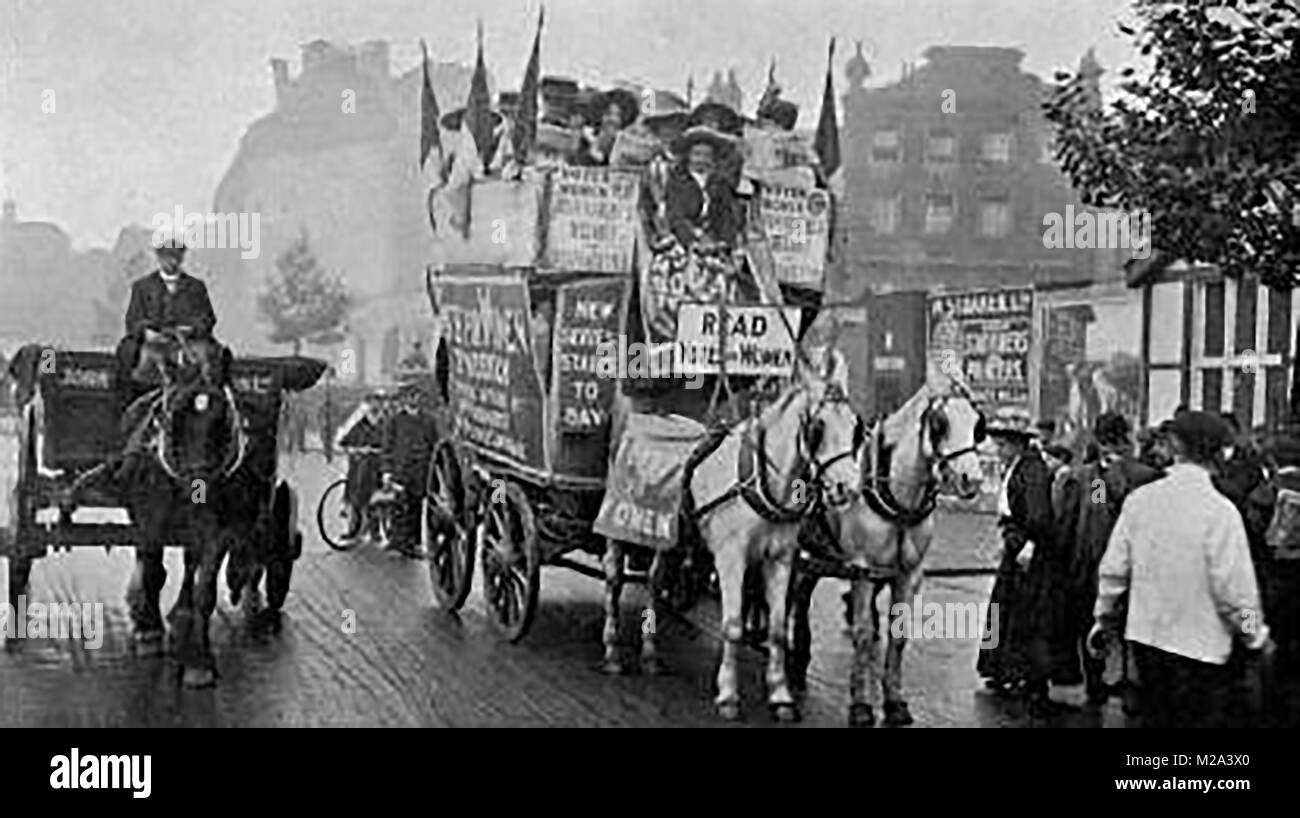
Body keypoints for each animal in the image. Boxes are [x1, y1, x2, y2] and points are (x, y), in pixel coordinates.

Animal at [780, 364, 982, 728]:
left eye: (978, 423)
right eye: (939, 423)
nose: (971, 479)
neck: (895, 497)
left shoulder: (909, 573)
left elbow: (899, 636)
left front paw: (895, 702)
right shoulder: (862, 569)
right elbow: (861, 633)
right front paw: (860, 704)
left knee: (801, 595)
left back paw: (799, 659)